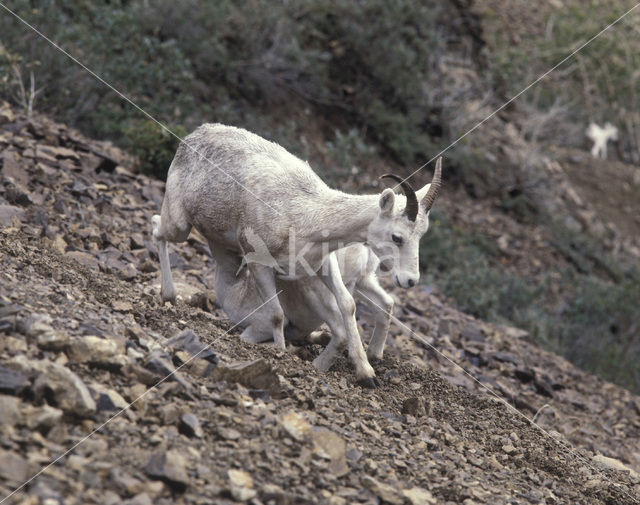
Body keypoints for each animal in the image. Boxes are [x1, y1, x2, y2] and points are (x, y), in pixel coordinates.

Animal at [151, 125, 440, 386]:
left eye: (422, 235)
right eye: (397, 237)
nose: (410, 280)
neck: (306, 214)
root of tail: (192, 137)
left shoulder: (320, 265)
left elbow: (347, 304)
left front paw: (366, 374)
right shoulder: (259, 264)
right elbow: (277, 314)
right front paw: (280, 353)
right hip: (180, 225)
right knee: (156, 228)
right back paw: (168, 295)